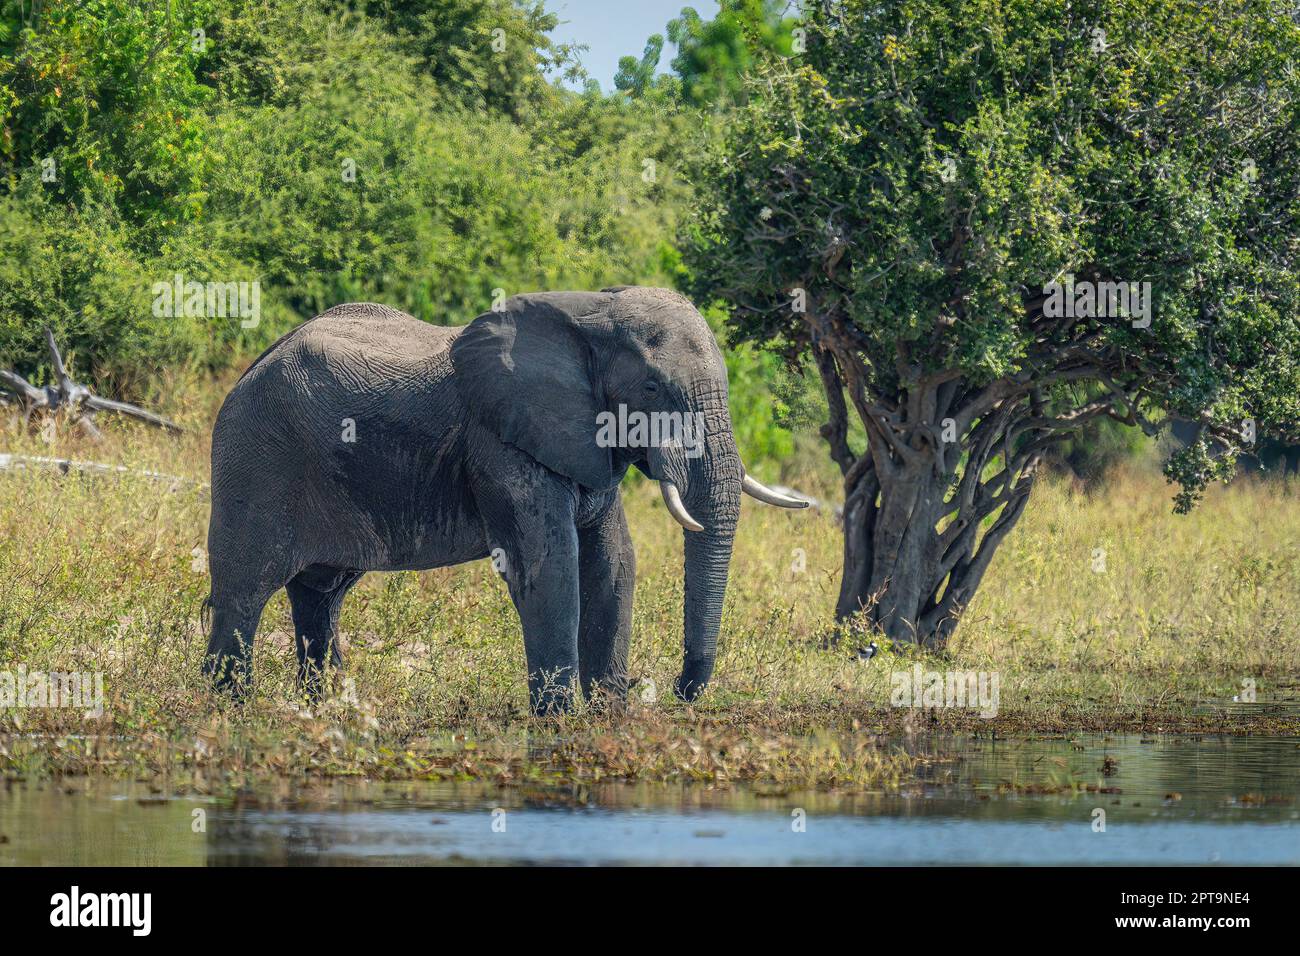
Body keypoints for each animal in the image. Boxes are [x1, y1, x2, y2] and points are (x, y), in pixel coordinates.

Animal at [202, 287, 806, 714]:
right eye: (653, 389)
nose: (676, 691)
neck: (591, 312)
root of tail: (253, 365)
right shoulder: (500, 443)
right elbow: (550, 565)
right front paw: (560, 721)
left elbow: (613, 562)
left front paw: (609, 716)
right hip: (255, 457)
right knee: (244, 593)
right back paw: (228, 709)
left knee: (320, 596)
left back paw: (323, 709)